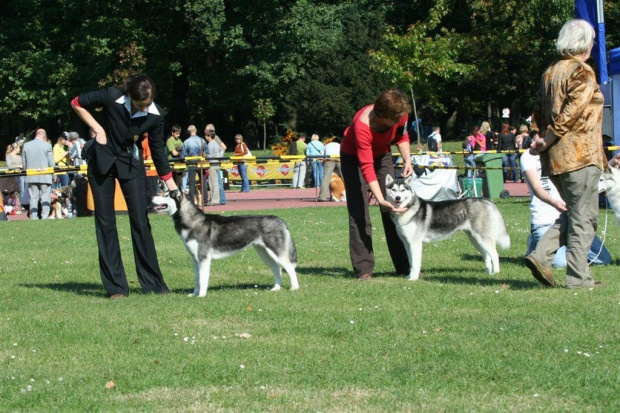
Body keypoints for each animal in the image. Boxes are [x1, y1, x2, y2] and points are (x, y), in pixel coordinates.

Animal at [154, 192, 300, 294]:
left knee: (290, 268)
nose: (152, 197)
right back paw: (276, 288)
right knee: (277, 269)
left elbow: (203, 279)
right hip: (264, 253)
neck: (192, 221)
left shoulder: (204, 258)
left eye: (166, 195)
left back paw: (294, 288)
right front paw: (194, 294)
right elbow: (197, 279)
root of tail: (279, 219)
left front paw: (201, 295)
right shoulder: (195, 259)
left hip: (276, 252)